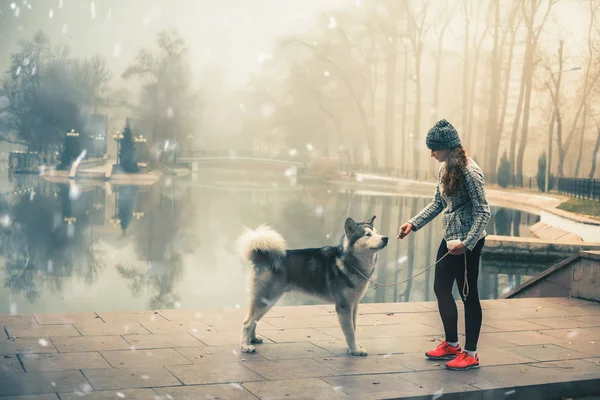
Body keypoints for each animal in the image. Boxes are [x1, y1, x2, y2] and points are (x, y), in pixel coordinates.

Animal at [236, 216, 390, 356]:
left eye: (377, 233)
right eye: (367, 234)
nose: (386, 238)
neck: (349, 262)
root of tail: (262, 256)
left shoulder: (353, 305)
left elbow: (353, 328)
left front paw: (354, 347)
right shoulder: (344, 306)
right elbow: (350, 331)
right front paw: (355, 350)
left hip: (266, 301)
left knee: (254, 320)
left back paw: (253, 339)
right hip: (266, 299)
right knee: (247, 322)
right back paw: (245, 346)